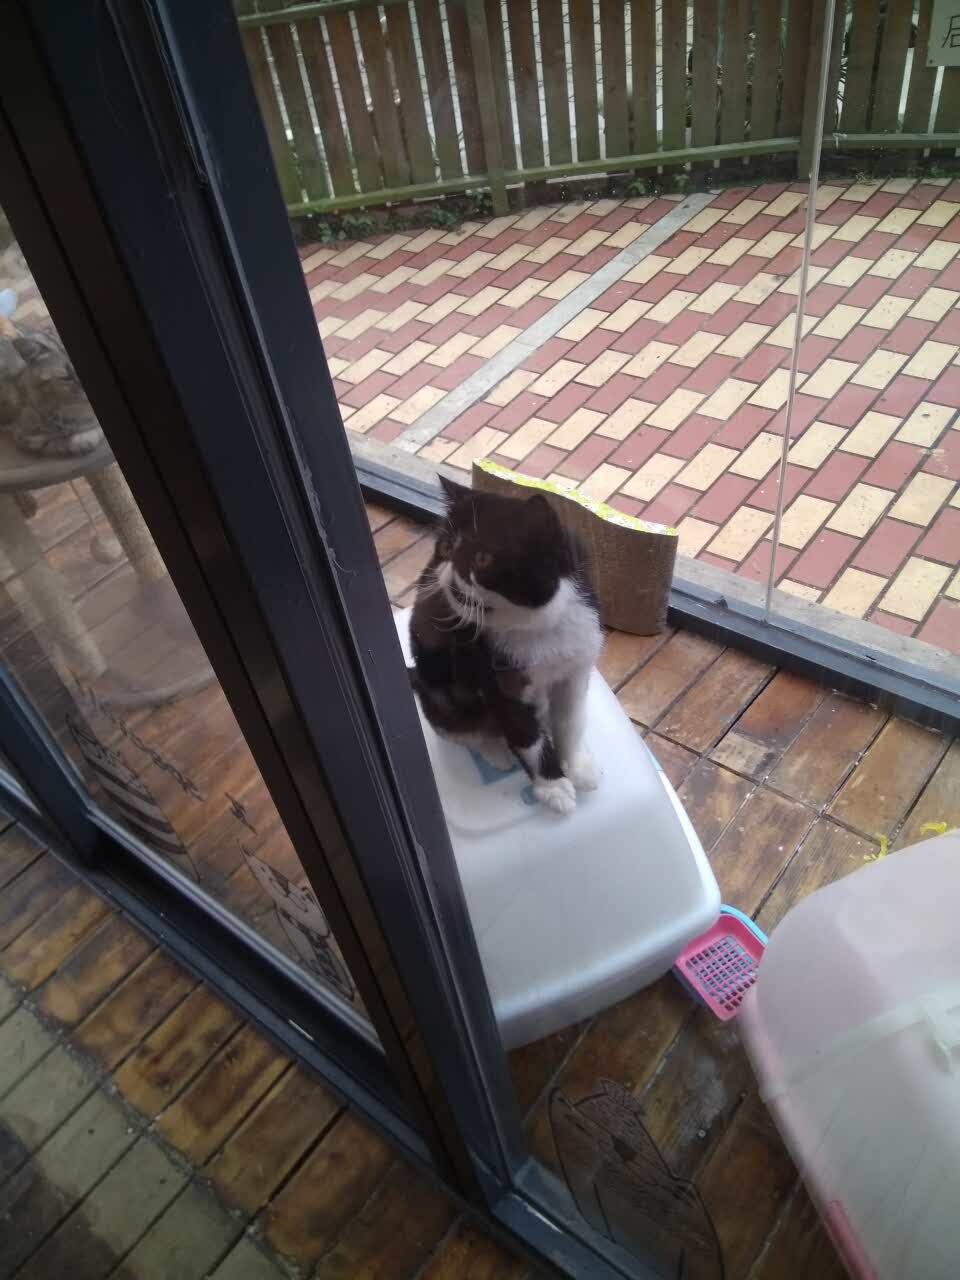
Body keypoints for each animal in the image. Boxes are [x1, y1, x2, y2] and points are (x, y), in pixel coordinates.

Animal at [408, 475, 603, 815]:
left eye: (484, 558)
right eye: (446, 548)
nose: (449, 571)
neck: (537, 628)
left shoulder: (578, 658)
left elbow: (571, 717)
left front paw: (578, 767)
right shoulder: (494, 677)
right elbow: (525, 734)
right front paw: (553, 787)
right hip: (440, 690)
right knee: (462, 725)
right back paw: (494, 749)